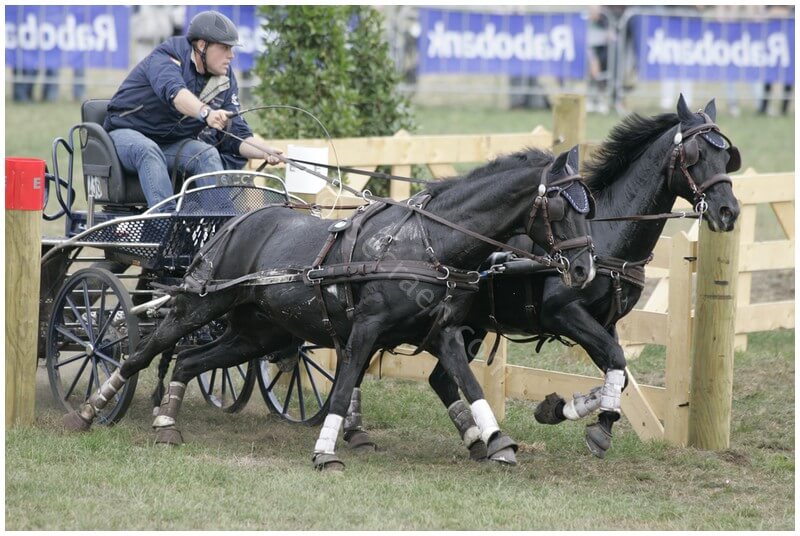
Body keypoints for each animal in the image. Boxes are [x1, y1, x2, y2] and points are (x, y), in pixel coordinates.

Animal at [64, 145, 596, 471]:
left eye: (587, 206)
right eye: (559, 208)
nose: (585, 269)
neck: (426, 241)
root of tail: (232, 224)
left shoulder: (442, 333)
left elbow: (467, 383)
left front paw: (498, 442)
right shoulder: (365, 330)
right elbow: (342, 390)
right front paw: (326, 451)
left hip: (258, 333)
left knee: (190, 360)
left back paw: (166, 422)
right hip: (200, 304)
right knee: (143, 351)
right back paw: (90, 409)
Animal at [340, 95, 741, 460]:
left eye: (727, 157)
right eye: (695, 155)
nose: (729, 211)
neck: (605, 233)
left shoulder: (604, 321)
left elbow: (620, 370)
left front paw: (571, 410)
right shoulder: (563, 313)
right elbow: (616, 359)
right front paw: (591, 423)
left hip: (469, 326)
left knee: (437, 377)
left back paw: (471, 438)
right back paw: (356, 428)